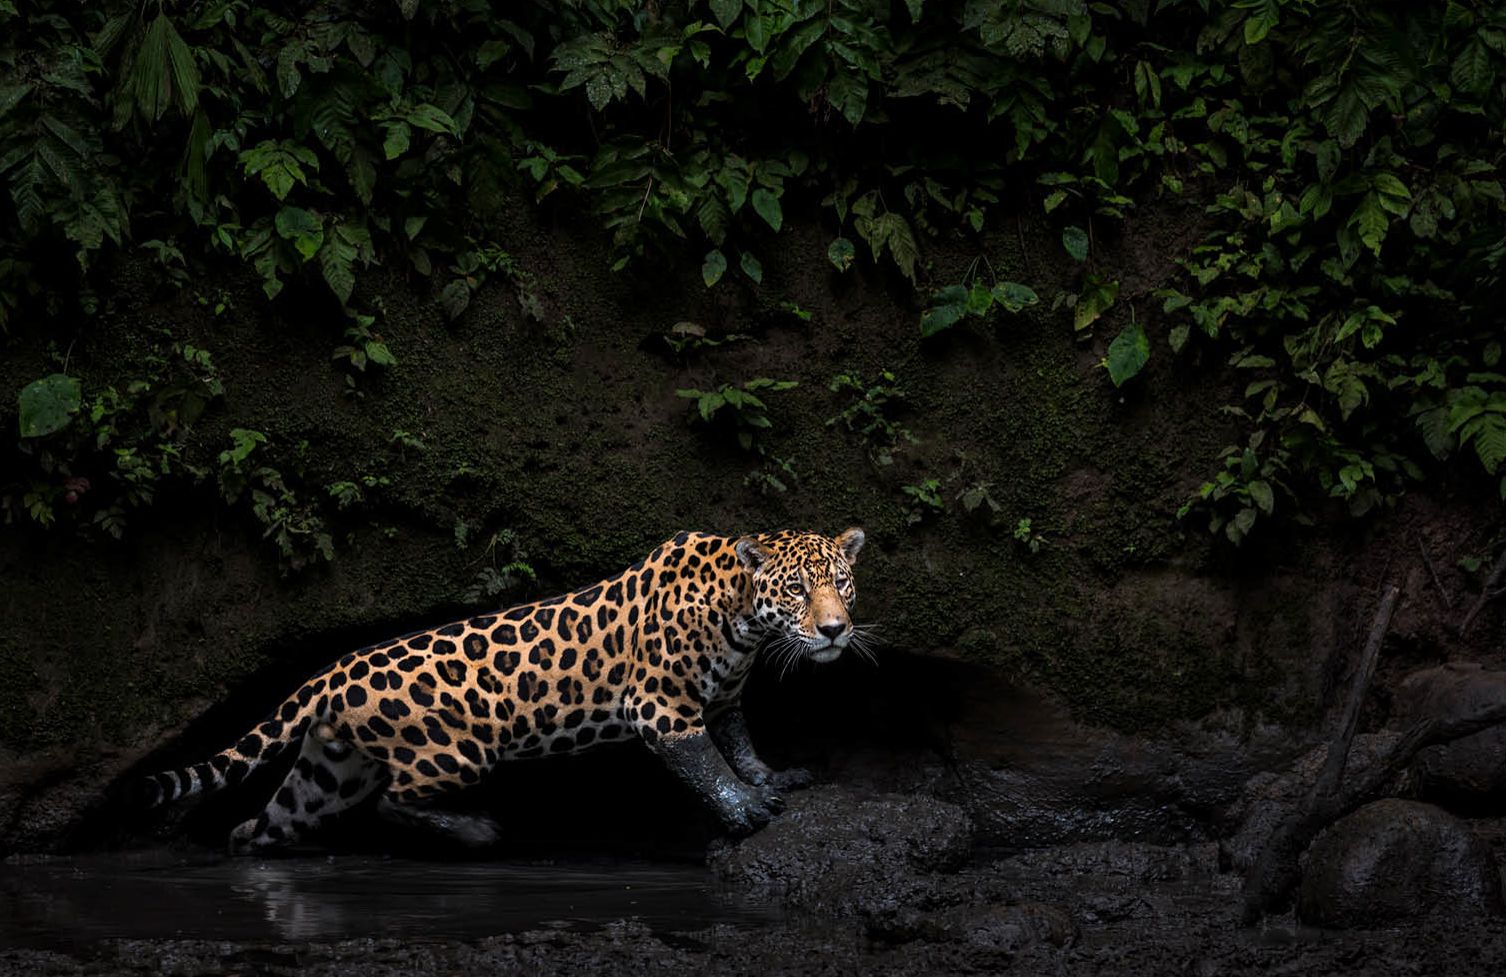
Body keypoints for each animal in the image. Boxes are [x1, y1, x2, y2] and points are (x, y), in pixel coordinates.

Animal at [139, 527, 867, 852]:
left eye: (842, 584)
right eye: (797, 590)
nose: (835, 630)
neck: (743, 617)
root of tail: (329, 672)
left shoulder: (721, 700)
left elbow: (739, 743)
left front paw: (771, 777)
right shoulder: (662, 709)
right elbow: (705, 764)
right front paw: (744, 809)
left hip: (326, 774)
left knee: (264, 823)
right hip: (456, 752)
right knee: (392, 802)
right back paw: (475, 829)